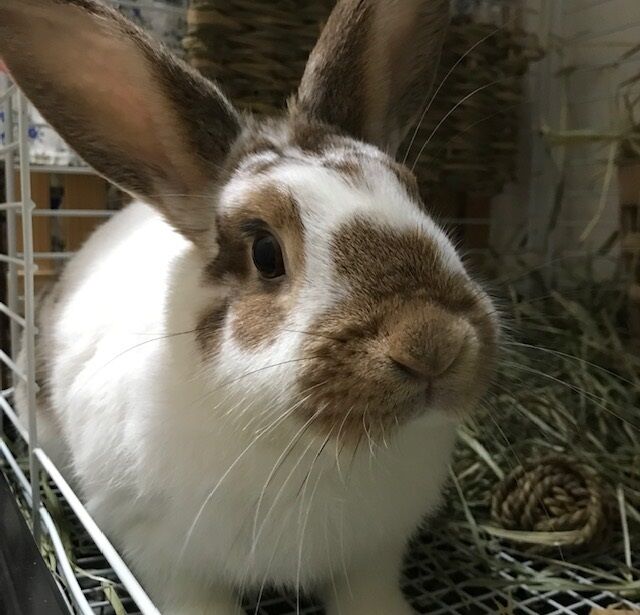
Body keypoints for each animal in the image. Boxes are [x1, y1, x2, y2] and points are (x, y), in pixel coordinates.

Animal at [1, 0, 498, 613]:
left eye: (417, 196)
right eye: (265, 252)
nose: (433, 343)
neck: (311, 449)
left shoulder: (372, 558)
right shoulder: (169, 563)